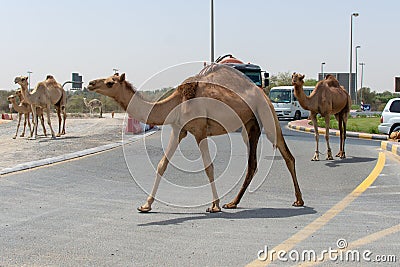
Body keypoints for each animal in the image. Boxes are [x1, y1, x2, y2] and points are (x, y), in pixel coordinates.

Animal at [87, 63, 304, 213]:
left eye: (110, 82)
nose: (90, 83)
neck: (178, 101)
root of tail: (263, 93)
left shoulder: (199, 131)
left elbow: (209, 167)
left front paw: (214, 206)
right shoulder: (178, 129)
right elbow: (162, 164)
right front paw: (145, 205)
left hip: (267, 116)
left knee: (286, 154)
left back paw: (299, 200)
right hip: (248, 125)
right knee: (253, 164)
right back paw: (233, 203)